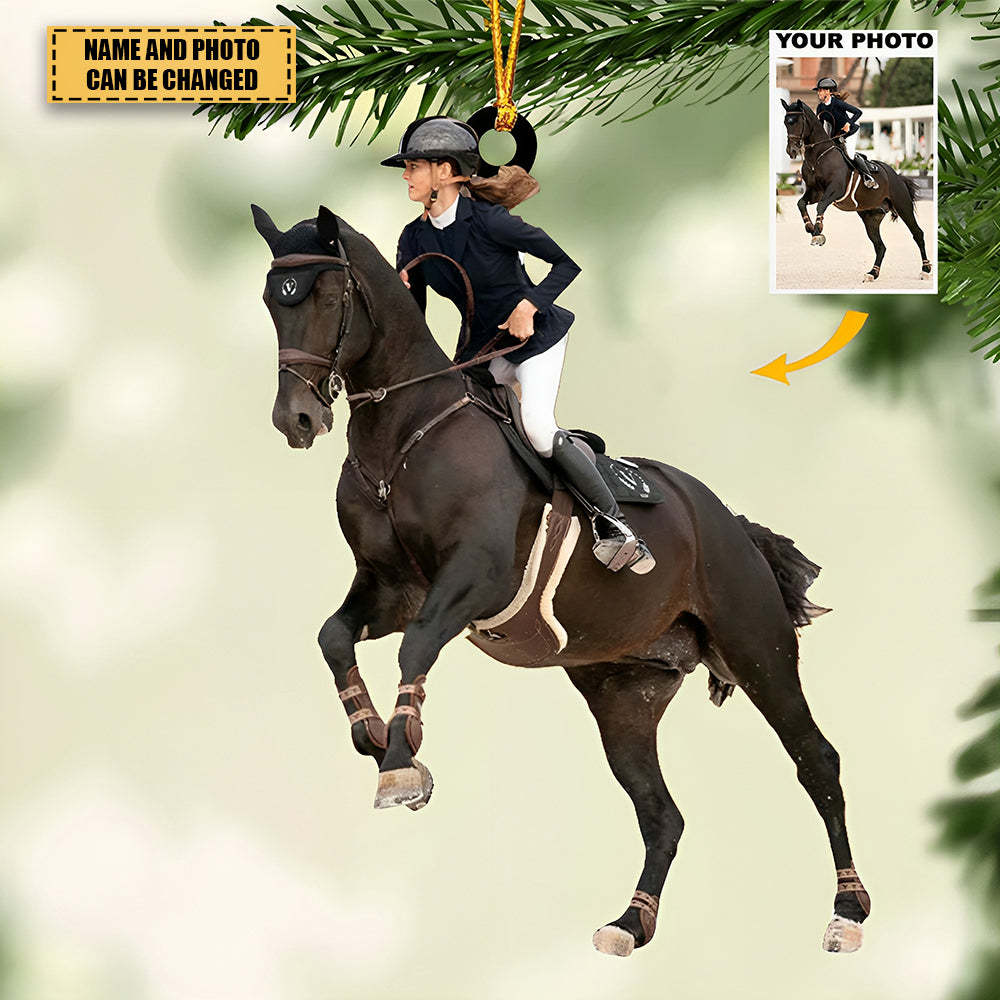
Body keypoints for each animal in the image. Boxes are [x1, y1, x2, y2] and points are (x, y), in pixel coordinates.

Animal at [251, 202, 872, 957]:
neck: (402, 436)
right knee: (661, 813)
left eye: (329, 299)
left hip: (758, 648)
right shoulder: (390, 587)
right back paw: (631, 923)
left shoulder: (473, 582)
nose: (297, 419)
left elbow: (416, 646)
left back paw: (847, 912)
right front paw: (373, 736)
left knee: (817, 761)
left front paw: (400, 762)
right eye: (271, 302)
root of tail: (729, 520)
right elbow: (333, 636)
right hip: (623, 693)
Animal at [781, 98, 931, 283]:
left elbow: (821, 206)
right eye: (786, 122)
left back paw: (925, 269)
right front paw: (810, 227)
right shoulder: (814, 192)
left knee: (918, 234)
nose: (792, 151)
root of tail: (897, 176)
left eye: (797, 122)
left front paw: (818, 231)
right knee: (880, 246)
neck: (817, 157)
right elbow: (801, 203)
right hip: (870, 217)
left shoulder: (834, 191)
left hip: (903, 207)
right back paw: (872, 273)